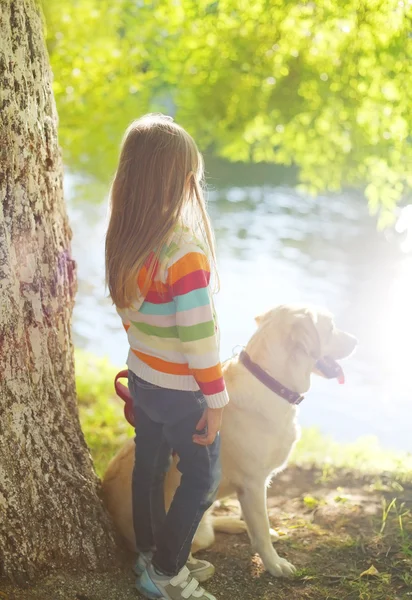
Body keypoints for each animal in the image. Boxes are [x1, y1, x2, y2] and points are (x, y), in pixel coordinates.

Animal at [101, 304, 356, 576]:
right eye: (331, 327)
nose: (357, 341)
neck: (269, 381)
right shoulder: (254, 483)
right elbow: (261, 529)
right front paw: (274, 564)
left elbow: (260, 524)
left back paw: (234, 523)